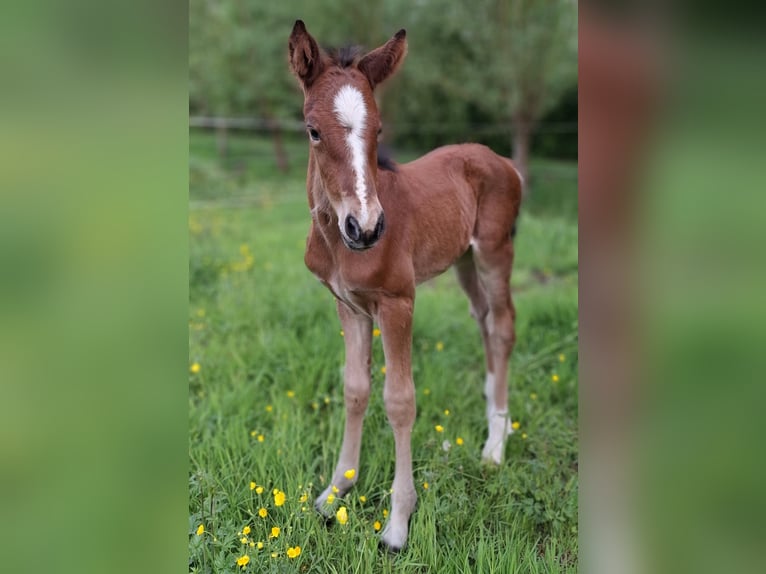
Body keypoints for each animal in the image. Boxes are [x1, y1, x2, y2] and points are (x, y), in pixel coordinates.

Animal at [292, 21, 524, 552]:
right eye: (313, 130)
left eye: (378, 130)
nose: (366, 227)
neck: (338, 242)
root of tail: (503, 160)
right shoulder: (348, 306)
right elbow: (355, 388)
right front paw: (335, 493)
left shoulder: (398, 302)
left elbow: (400, 401)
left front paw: (397, 523)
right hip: (462, 260)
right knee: (483, 320)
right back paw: (490, 408)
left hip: (493, 252)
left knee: (503, 325)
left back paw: (495, 445)